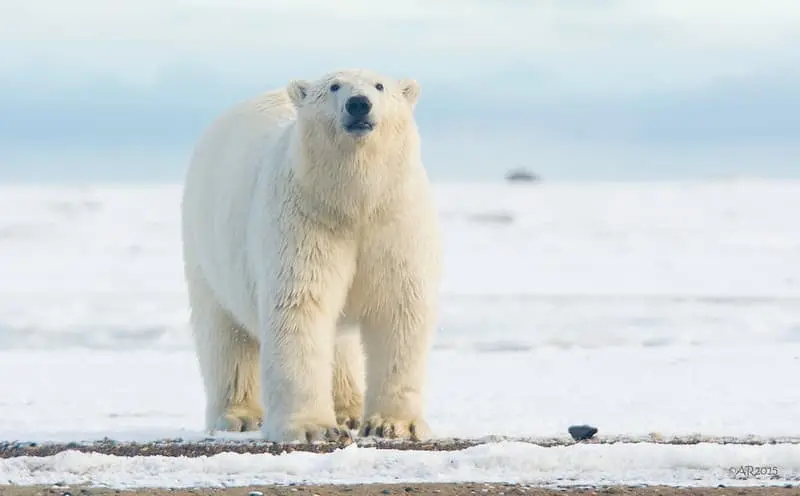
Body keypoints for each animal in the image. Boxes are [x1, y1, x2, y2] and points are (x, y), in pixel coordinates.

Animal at [180, 69, 444, 442]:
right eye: (334, 86)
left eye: (379, 86)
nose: (358, 103)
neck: (353, 202)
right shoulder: (305, 219)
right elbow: (301, 305)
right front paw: (311, 428)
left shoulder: (395, 221)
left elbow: (400, 306)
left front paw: (393, 425)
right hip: (206, 248)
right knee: (225, 334)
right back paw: (238, 416)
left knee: (340, 343)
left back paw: (349, 410)